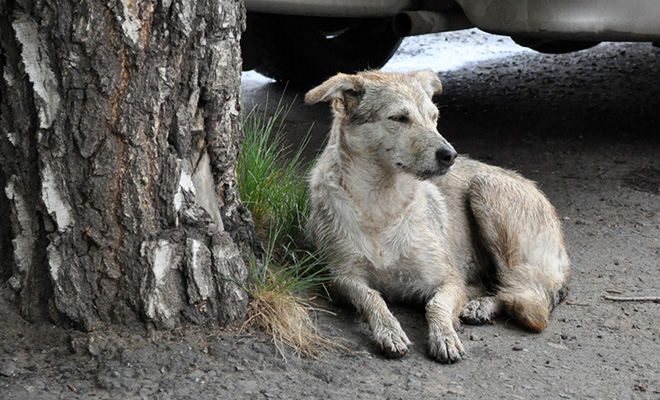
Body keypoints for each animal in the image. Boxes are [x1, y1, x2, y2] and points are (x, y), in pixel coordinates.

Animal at [304, 71, 568, 362]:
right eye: (398, 118)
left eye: (434, 117)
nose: (450, 155)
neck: (382, 204)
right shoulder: (342, 276)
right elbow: (372, 297)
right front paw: (389, 330)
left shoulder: (447, 279)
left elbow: (436, 305)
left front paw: (444, 335)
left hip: (487, 190)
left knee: (527, 297)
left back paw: (481, 305)